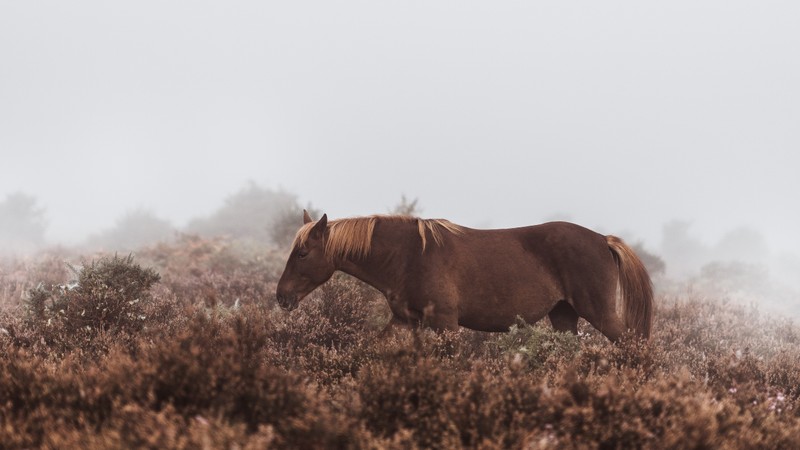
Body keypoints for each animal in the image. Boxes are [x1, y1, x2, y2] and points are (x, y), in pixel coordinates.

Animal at [278, 211, 652, 342]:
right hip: (563, 316)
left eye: (303, 253)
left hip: (599, 313)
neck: (409, 256)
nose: (281, 297)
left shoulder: (446, 322)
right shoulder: (405, 321)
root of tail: (602, 239)